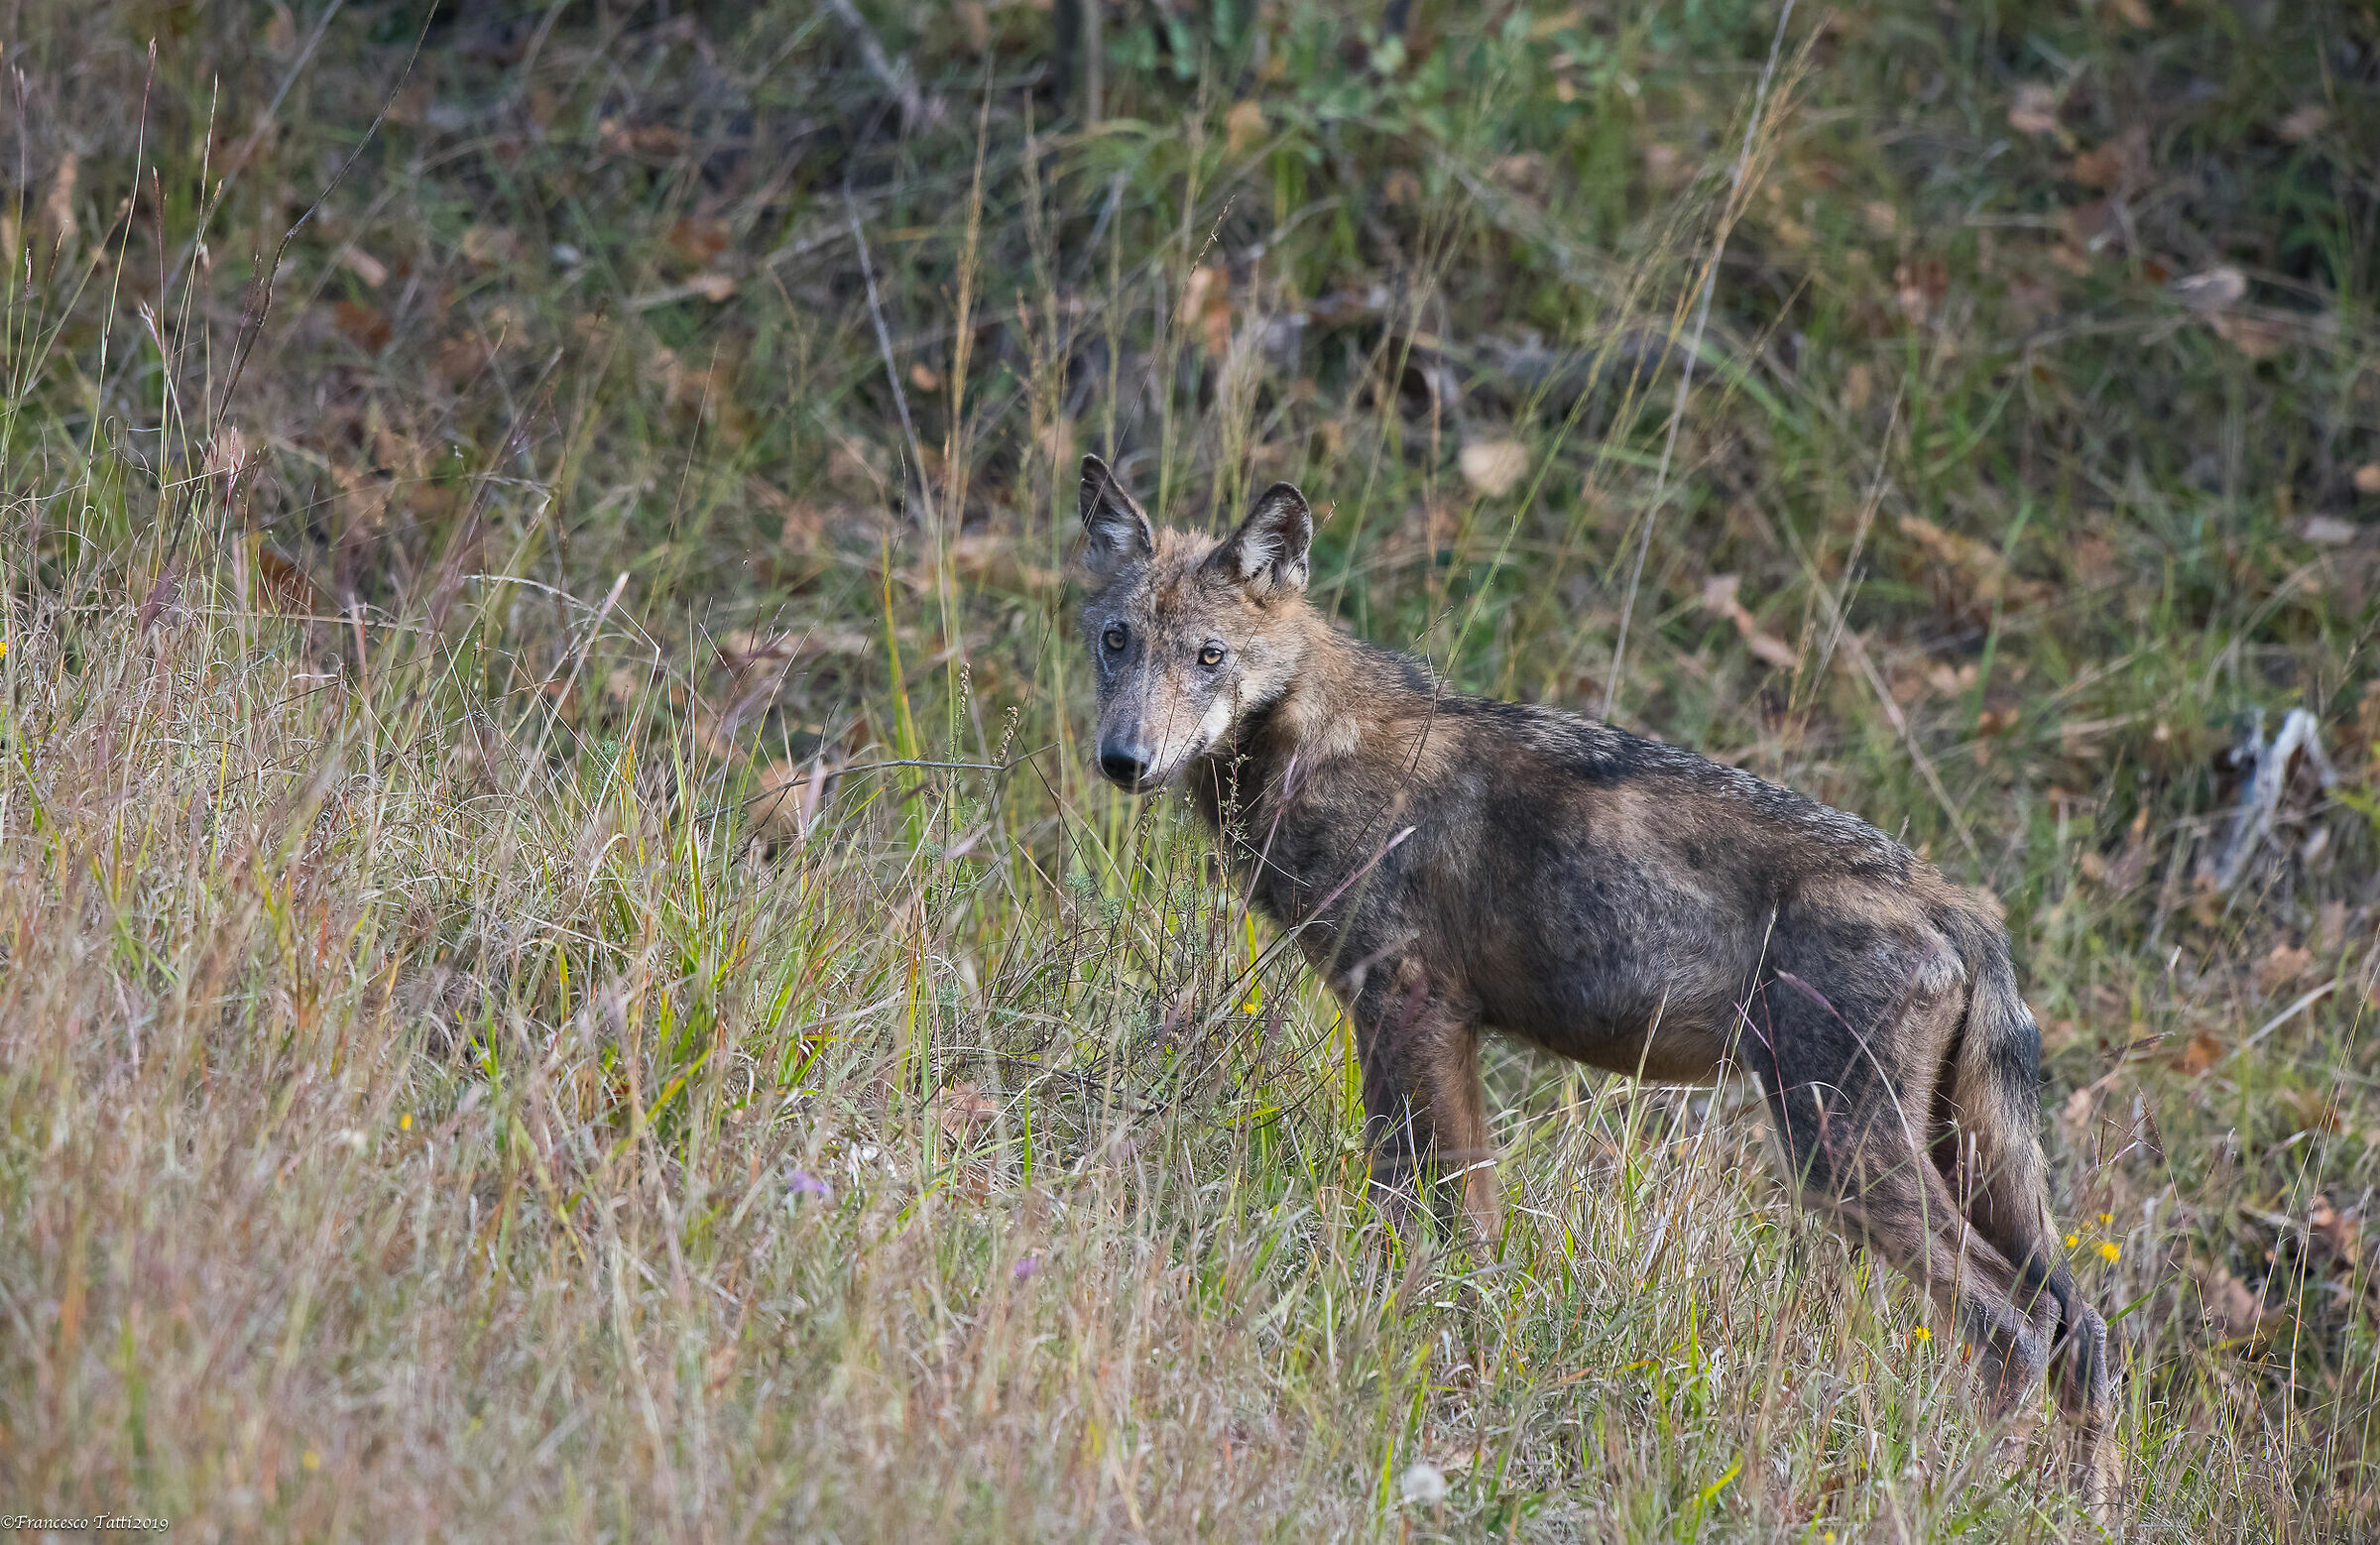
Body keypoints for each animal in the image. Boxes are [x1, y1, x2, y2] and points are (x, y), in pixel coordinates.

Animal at [1072, 455, 2116, 1511]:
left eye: (1209, 657)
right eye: (1118, 643)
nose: (1124, 761)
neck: (1313, 746)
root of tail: (1954, 902)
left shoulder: (1408, 1009)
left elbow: (1422, 1211)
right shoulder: (1438, 1028)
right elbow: (1471, 1222)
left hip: (1844, 1157)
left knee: (2020, 1323)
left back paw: (1959, 1489)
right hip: (1947, 1160)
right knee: (2084, 1329)